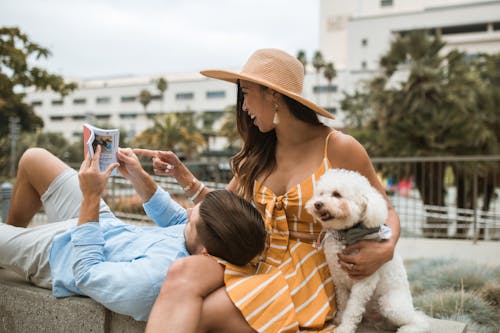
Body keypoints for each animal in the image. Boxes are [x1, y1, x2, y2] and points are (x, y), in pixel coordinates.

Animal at [304, 169, 430, 332]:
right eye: (320, 193)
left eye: (337, 194)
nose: (317, 204)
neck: (345, 235)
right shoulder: (339, 281)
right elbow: (343, 304)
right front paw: (339, 320)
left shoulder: (363, 282)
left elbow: (352, 309)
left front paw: (345, 328)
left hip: (390, 304)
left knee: (418, 320)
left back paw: (408, 328)